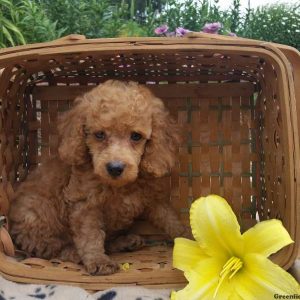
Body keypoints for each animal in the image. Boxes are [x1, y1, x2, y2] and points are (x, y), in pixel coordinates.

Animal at [8, 79, 188, 274]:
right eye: (100, 134)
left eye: (136, 136)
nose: (115, 168)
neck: (119, 186)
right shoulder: (86, 205)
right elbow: (90, 235)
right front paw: (98, 260)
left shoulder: (152, 197)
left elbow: (168, 217)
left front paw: (187, 235)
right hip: (36, 212)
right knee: (49, 247)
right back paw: (75, 254)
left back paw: (126, 242)